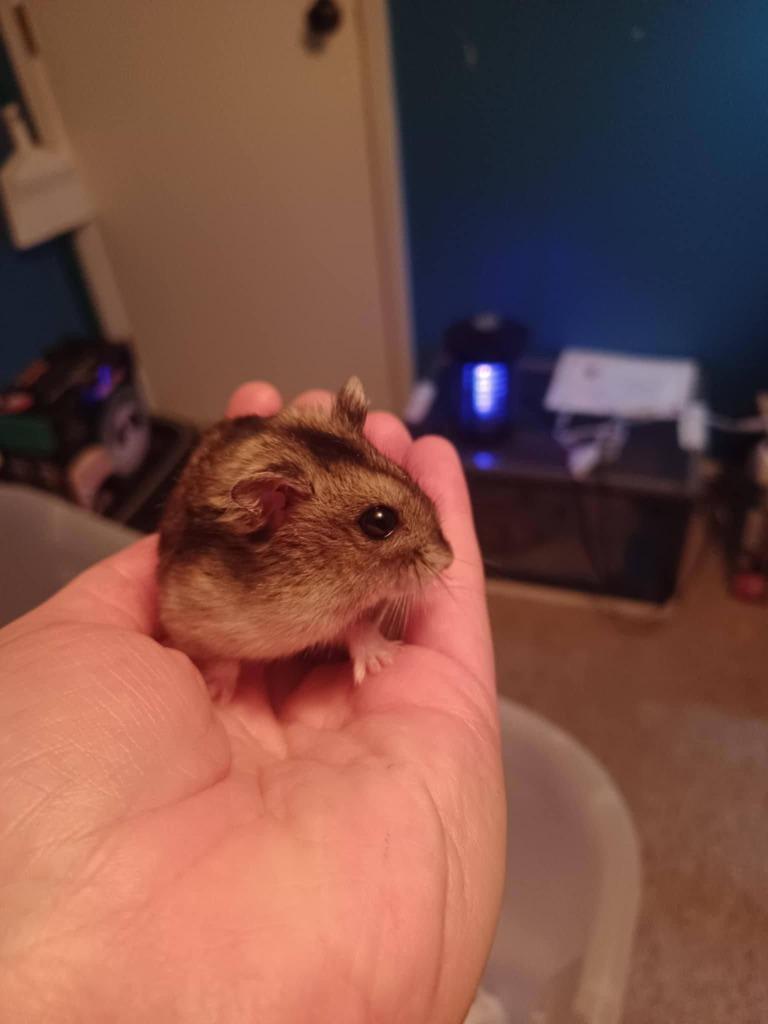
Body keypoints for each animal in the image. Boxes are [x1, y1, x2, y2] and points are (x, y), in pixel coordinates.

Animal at [157, 377, 453, 700]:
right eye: (380, 521)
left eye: (405, 474)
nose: (448, 559)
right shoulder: (186, 618)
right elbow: (221, 658)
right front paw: (216, 695)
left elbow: (356, 627)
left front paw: (385, 658)